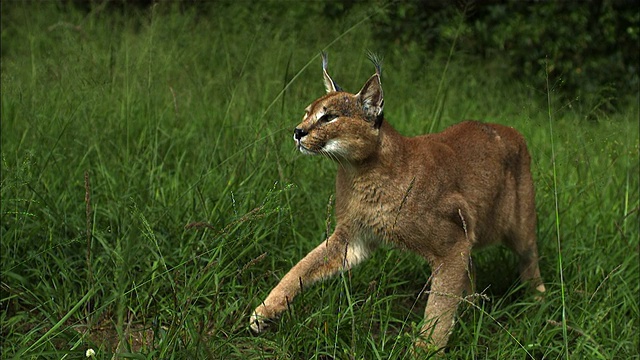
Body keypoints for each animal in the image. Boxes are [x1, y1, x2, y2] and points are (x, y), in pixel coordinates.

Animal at [250, 53, 544, 352]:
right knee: (471, 267)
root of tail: (510, 129)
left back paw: (538, 300)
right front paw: (266, 310)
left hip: (519, 224)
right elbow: (303, 265)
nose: (298, 131)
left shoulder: (451, 244)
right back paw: (472, 310)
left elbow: (440, 304)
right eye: (306, 113)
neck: (358, 172)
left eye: (329, 117)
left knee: (529, 254)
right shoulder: (352, 237)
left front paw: (426, 350)